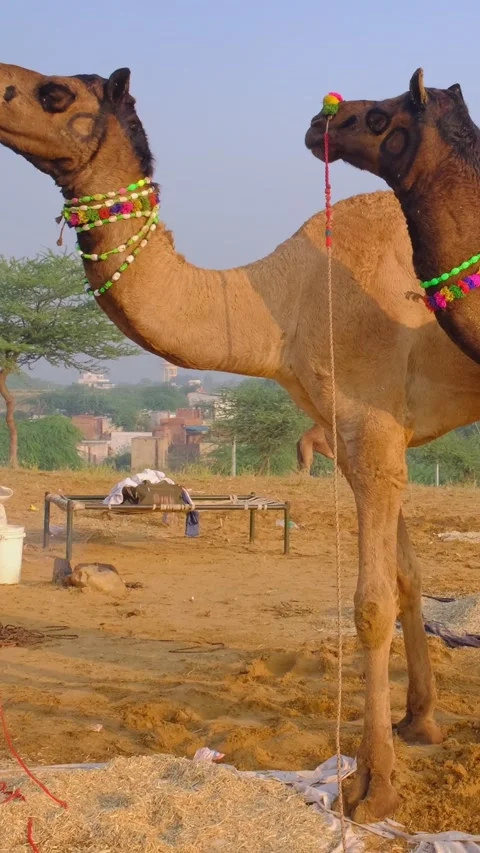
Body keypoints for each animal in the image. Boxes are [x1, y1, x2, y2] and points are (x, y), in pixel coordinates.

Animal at [2, 63, 480, 822]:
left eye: (56, 93)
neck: (283, 304)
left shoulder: (370, 426)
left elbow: (370, 605)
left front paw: (372, 787)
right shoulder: (372, 434)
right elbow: (408, 580)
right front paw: (420, 723)